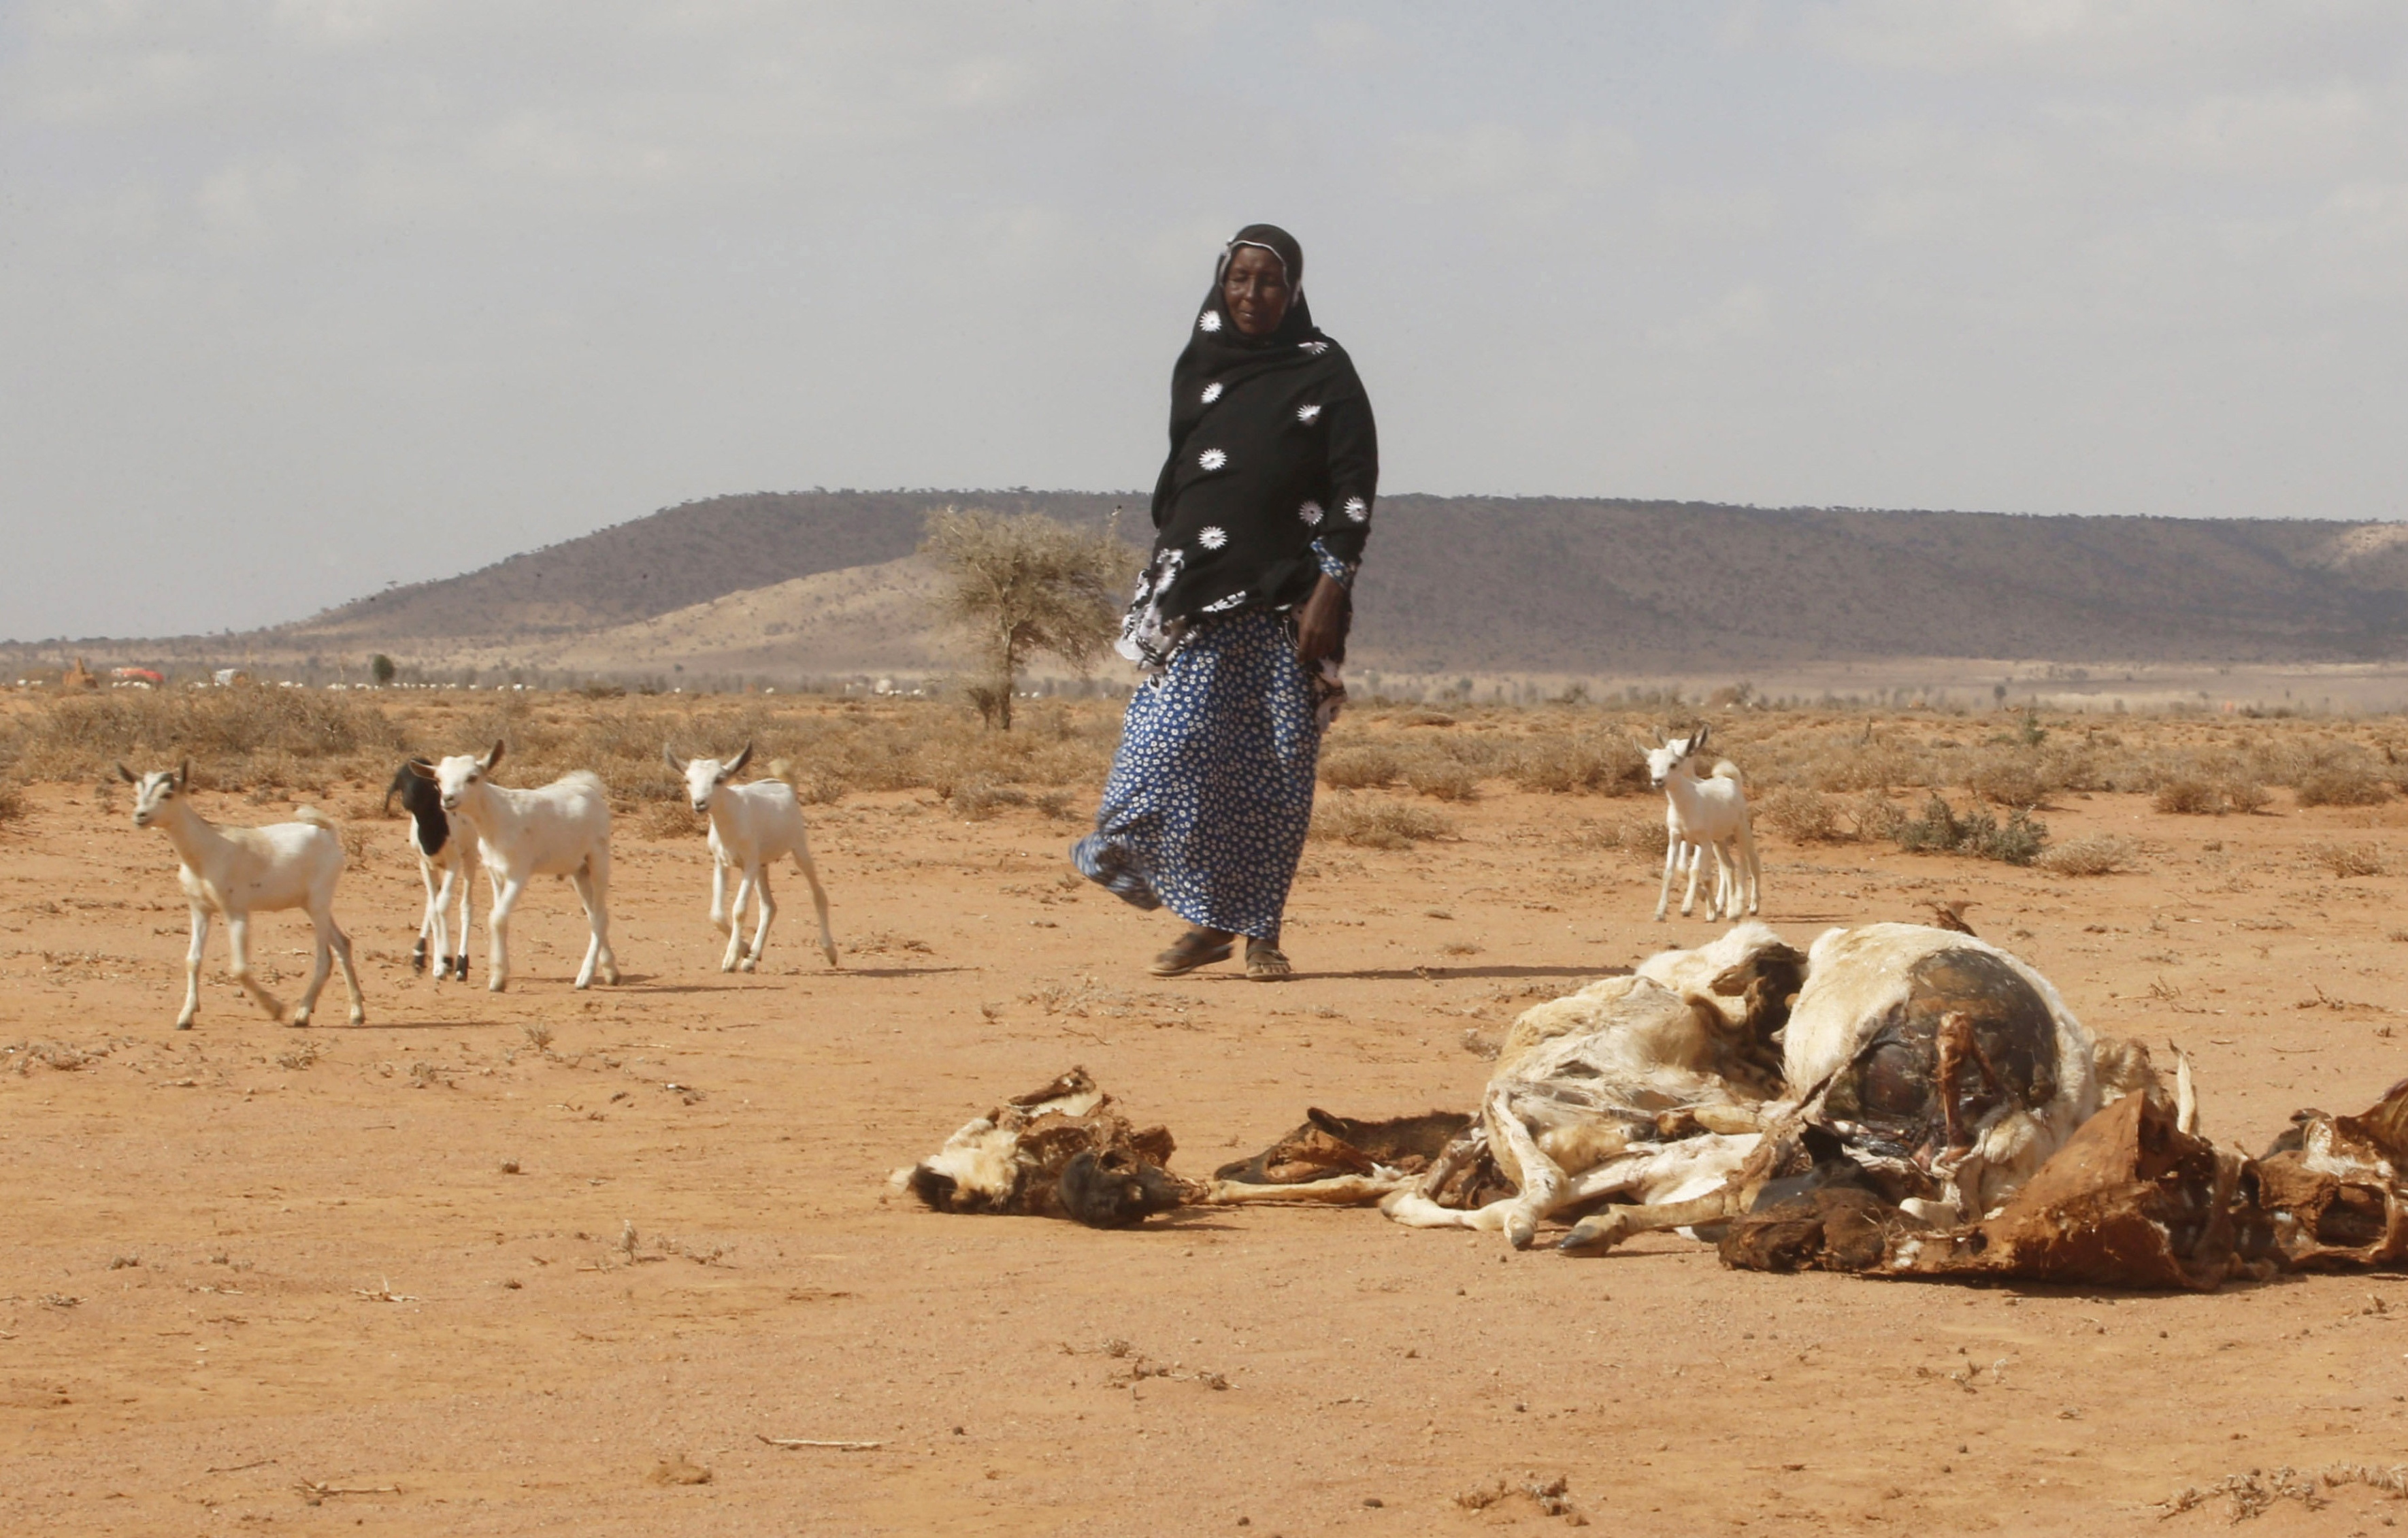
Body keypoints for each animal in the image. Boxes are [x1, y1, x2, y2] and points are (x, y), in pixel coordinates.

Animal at [121, 760, 363, 1034]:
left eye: (167, 793)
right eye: (137, 791)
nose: (140, 816)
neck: (207, 849)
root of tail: (327, 833)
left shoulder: (236, 912)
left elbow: (239, 967)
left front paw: (276, 1009)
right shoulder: (201, 910)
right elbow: (193, 960)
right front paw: (185, 1017)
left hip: (317, 906)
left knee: (325, 959)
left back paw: (302, 1015)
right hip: (310, 906)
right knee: (343, 943)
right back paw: (356, 1014)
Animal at [382, 760, 476, 987]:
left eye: (427, 781)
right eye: (401, 781)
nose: (408, 800)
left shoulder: (453, 864)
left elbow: (444, 906)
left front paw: (448, 962)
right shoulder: (424, 863)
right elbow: (434, 908)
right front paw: (438, 964)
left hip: (470, 857)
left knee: (465, 905)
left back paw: (461, 964)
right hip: (435, 868)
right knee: (434, 902)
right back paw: (422, 956)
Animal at [414, 751, 621, 1001]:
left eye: (472, 777)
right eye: (439, 780)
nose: (448, 799)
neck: (498, 816)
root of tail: (591, 789)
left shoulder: (518, 875)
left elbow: (497, 918)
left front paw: (498, 978)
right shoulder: (496, 873)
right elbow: (498, 917)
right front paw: (499, 972)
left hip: (599, 861)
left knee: (600, 916)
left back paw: (585, 977)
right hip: (579, 871)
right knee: (595, 915)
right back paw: (610, 971)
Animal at [664, 741, 842, 967]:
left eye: (719, 779)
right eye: (687, 780)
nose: (700, 803)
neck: (731, 820)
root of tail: (787, 787)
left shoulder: (748, 865)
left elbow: (739, 910)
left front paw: (730, 960)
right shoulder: (722, 864)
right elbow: (717, 915)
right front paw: (744, 950)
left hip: (798, 852)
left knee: (818, 894)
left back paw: (831, 952)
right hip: (762, 867)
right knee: (769, 906)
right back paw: (751, 960)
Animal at [1647, 727, 1762, 919]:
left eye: (1690, 750)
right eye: (1669, 747)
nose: (1659, 779)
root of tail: (1731, 780)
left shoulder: (1702, 840)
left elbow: (1694, 870)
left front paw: (1689, 906)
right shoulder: (1685, 839)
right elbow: (1682, 869)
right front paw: (1700, 900)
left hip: (1741, 833)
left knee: (1750, 862)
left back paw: (1750, 906)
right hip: (1719, 842)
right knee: (1728, 867)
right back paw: (1724, 905)